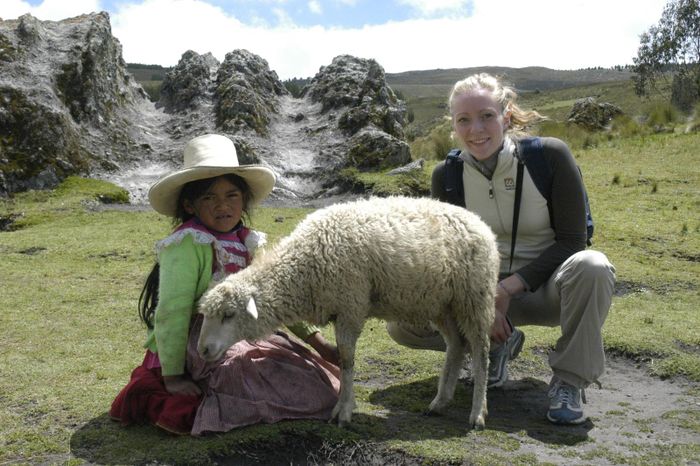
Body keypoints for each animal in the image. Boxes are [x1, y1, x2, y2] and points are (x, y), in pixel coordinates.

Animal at [197, 196, 498, 430]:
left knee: (481, 351)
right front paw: (344, 404)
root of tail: (481, 224)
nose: (203, 350)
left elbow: (346, 360)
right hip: (443, 304)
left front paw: (343, 411)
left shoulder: (350, 307)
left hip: (475, 298)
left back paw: (478, 414)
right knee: (457, 345)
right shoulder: (340, 309)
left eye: (228, 314)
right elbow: (342, 359)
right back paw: (439, 403)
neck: (303, 268)